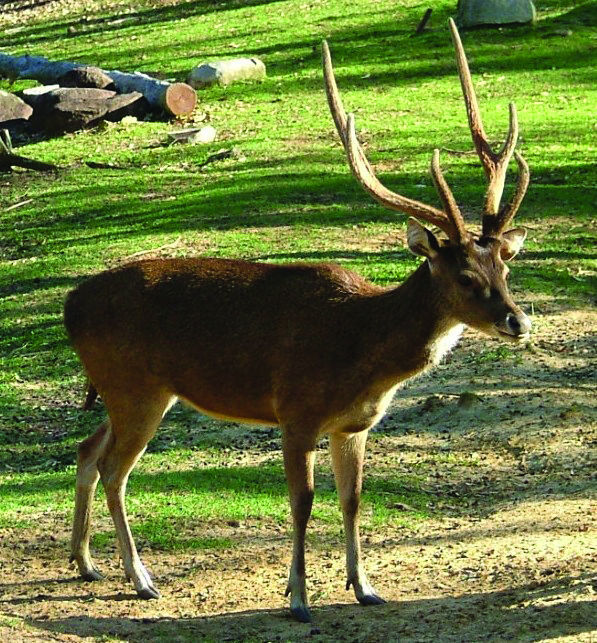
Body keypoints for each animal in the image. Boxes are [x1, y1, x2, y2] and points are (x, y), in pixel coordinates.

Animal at [64, 19, 531, 623]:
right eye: (466, 277)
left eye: (505, 265)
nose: (517, 321)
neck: (361, 349)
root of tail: (69, 306)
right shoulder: (296, 413)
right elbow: (303, 504)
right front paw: (300, 599)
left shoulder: (353, 426)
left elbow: (353, 500)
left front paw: (365, 587)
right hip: (134, 387)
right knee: (114, 469)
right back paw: (141, 579)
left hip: (133, 390)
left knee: (87, 449)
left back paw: (86, 563)